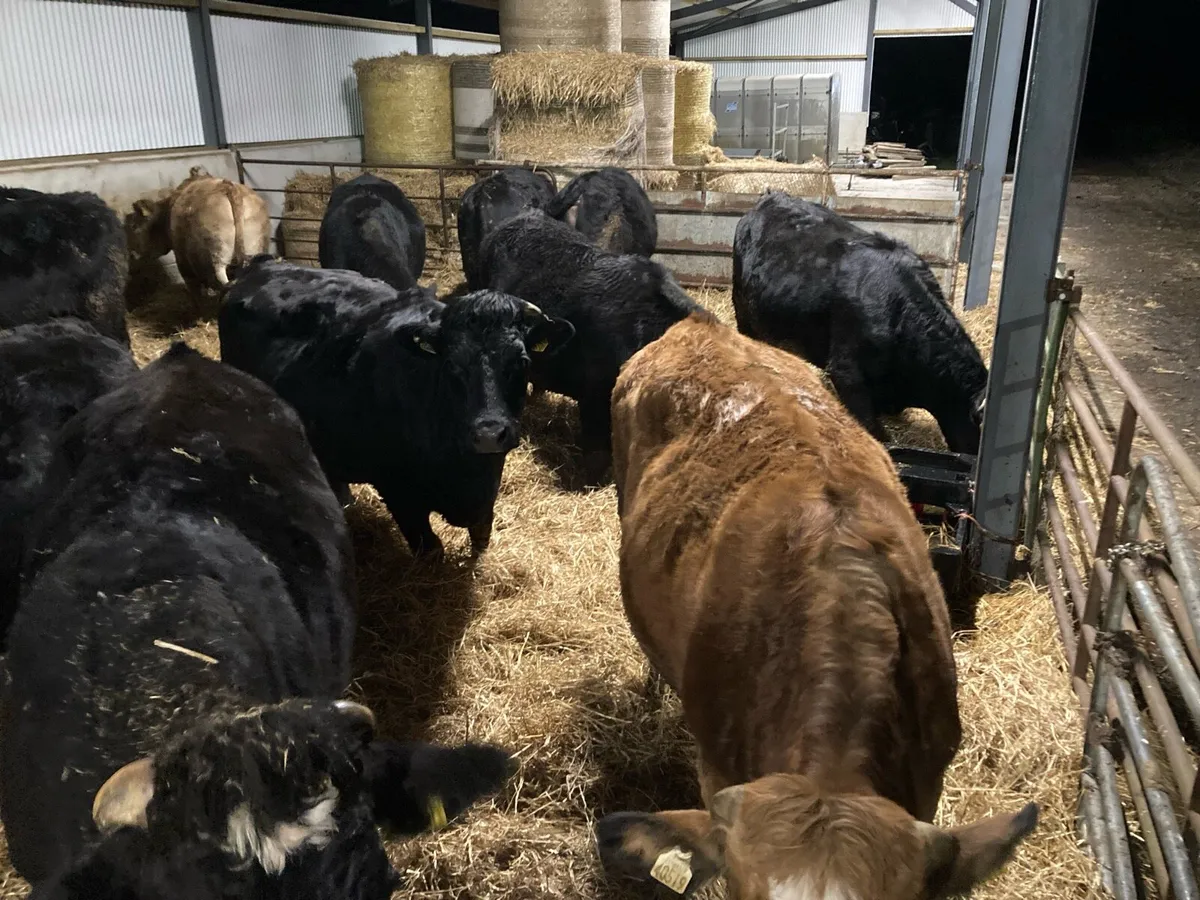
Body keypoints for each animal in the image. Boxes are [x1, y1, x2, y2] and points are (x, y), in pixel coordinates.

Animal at [126, 166, 270, 312]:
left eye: (134, 227)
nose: (131, 254)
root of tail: (228, 187)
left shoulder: (183, 261)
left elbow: (195, 290)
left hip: (215, 258)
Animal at [218, 256, 574, 558]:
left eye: (521, 363)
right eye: (451, 366)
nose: (489, 433)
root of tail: (262, 265)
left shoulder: (484, 496)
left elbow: (481, 538)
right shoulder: (398, 492)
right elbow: (430, 550)